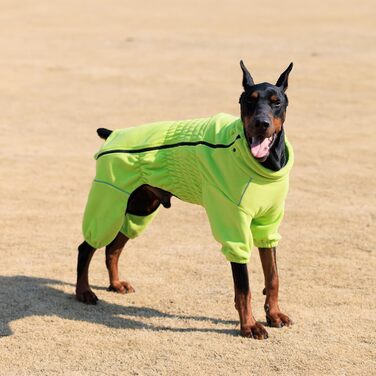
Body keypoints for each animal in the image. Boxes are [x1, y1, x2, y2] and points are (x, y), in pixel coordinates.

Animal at [75, 60, 294, 340]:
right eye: (248, 100)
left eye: (276, 102)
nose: (261, 123)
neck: (263, 164)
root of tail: (113, 133)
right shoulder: (234, 225)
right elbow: (243, 286)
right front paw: (249, 326)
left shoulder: (268, 223)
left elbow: (273, 276)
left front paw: (274, 314)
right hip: (110, 201)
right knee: (87, 246)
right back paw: (83, 291)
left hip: (140, 208)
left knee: (113, 248)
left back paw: (115, 284)